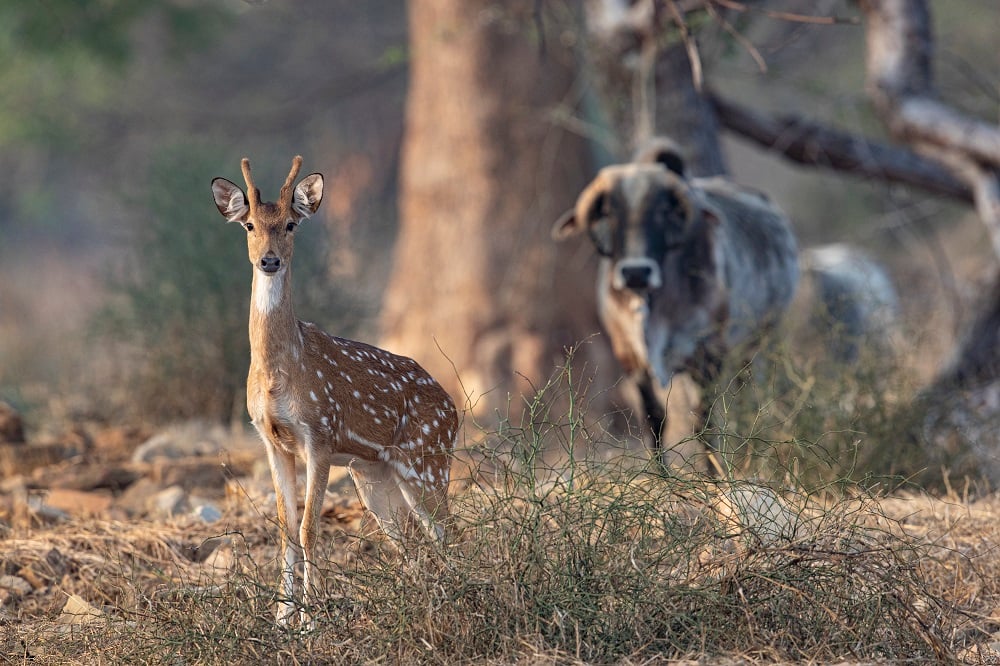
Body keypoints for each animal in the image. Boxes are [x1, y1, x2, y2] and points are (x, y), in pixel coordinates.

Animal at [211, 156, 457, 625]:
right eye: (249, 225)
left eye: (290, 224)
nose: (269, 261)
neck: (279, 374)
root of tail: (455, 411)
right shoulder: (272, 441)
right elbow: (287, 528)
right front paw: (280, 621)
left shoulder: (319, 433)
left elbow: (310, 528)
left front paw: (309, 623)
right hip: (374, 475)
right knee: (411, 542)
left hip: (428, 462)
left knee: (448, 533)